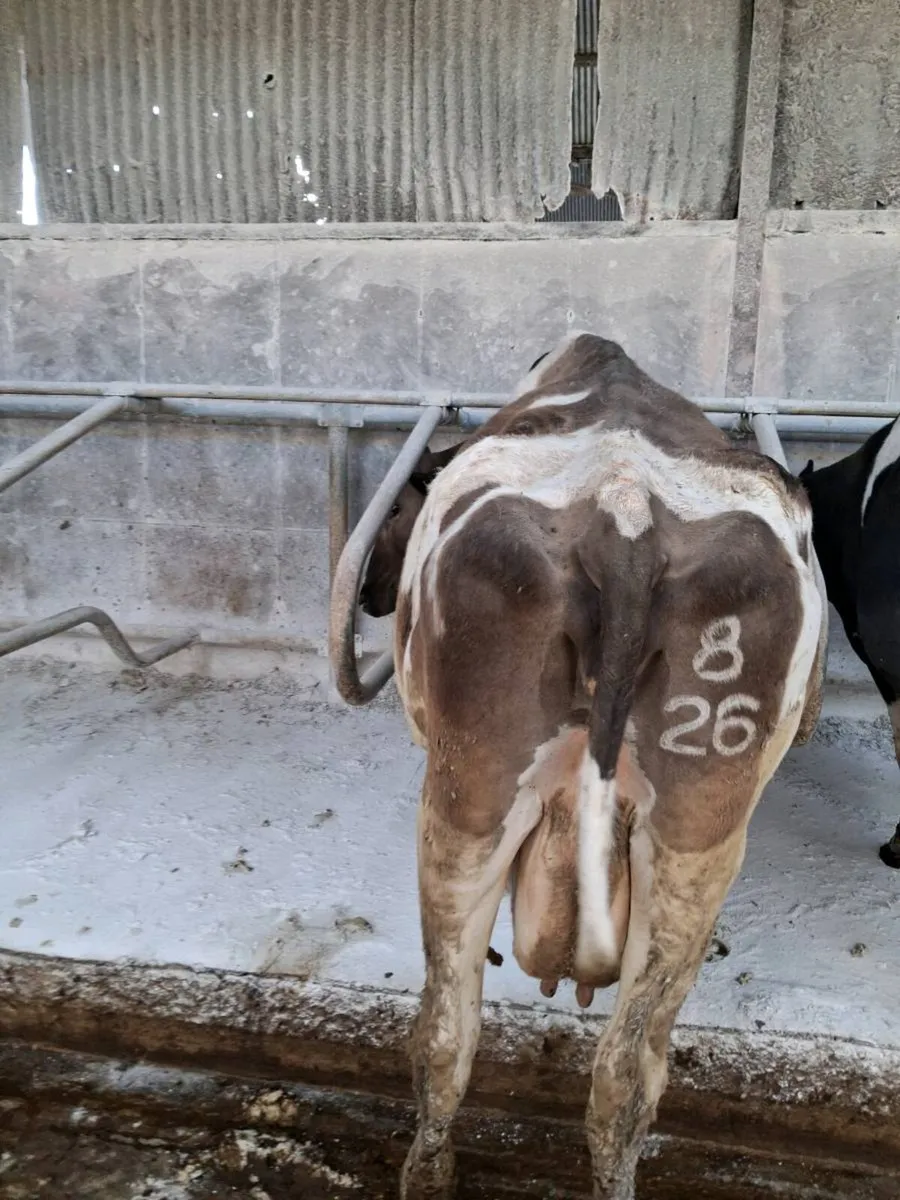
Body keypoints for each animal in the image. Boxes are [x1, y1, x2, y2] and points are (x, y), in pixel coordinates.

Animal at [355, 333, 826, 1199]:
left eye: (400, 507)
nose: (371, 588)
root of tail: (626, 512)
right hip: (699, 838)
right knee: (627, 1075)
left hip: (465, 799)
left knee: (445, 1029)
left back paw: (426, 1170)